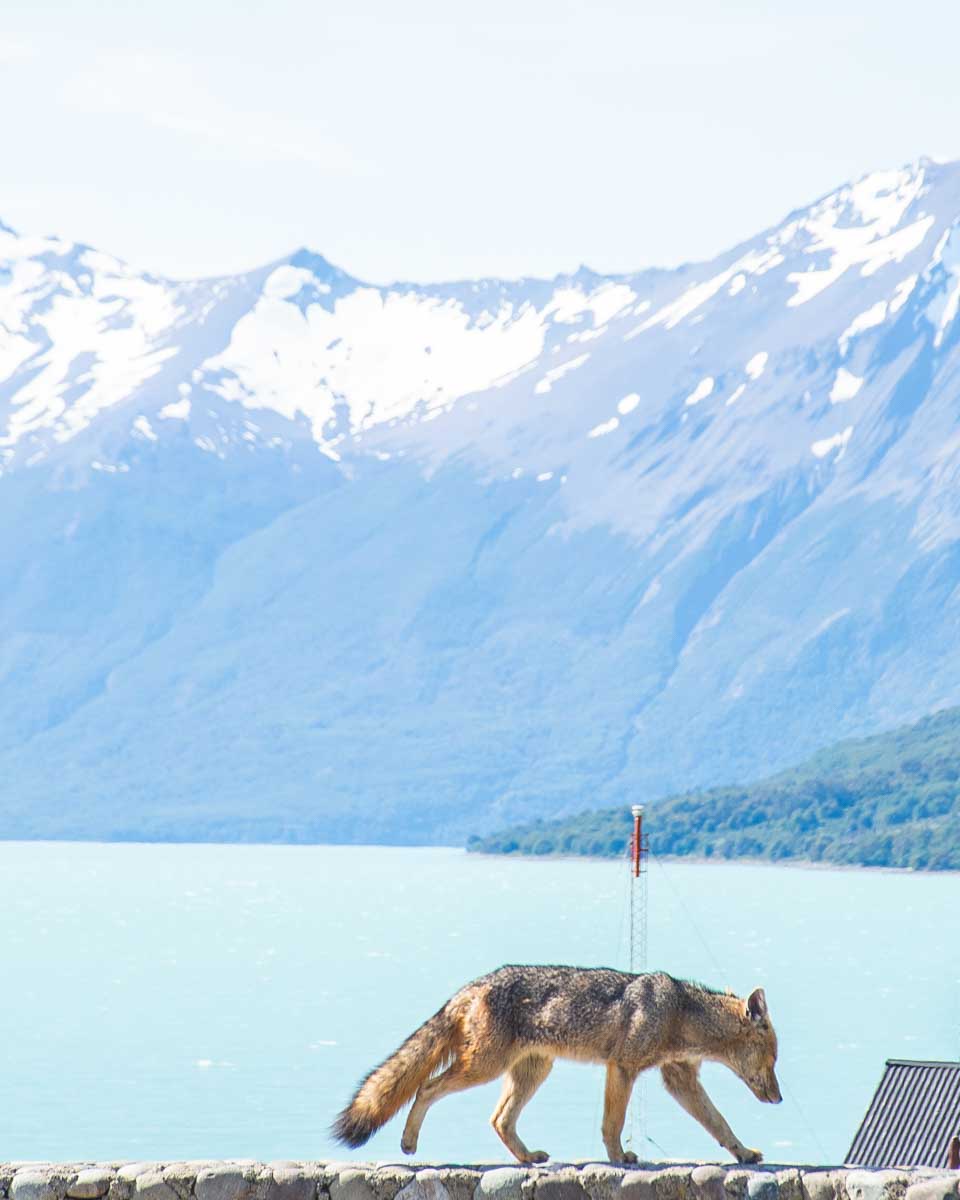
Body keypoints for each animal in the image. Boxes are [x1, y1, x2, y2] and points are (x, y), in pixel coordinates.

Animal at [332, 964, 782, 1165]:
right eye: (774, 1060)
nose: (778, 1099)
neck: (681, 1013)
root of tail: (474, 983)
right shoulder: (622, 1067)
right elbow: (612, 1124)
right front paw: (619, 1158)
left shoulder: (679, 1079)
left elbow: (719, 1123)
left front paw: (743, 1153)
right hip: (484, 1068)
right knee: (426, 1089)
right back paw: (409, 1142)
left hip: (531, 1072)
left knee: (499, 1119)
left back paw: (527, 1158)